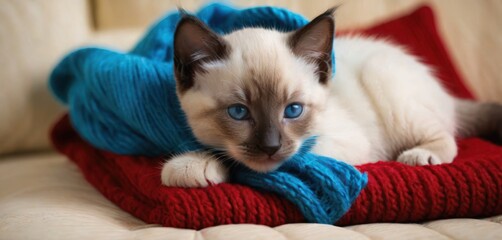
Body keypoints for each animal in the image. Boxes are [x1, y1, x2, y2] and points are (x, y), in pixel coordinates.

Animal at [162, 7, 502, 188]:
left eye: (293, 110)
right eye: (238, 112)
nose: (271, 147)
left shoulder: (344, 144)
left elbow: (260, 164)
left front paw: (193, 166)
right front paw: (193, 164)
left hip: (383, 76)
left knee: (447, 136)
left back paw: (420, 155)